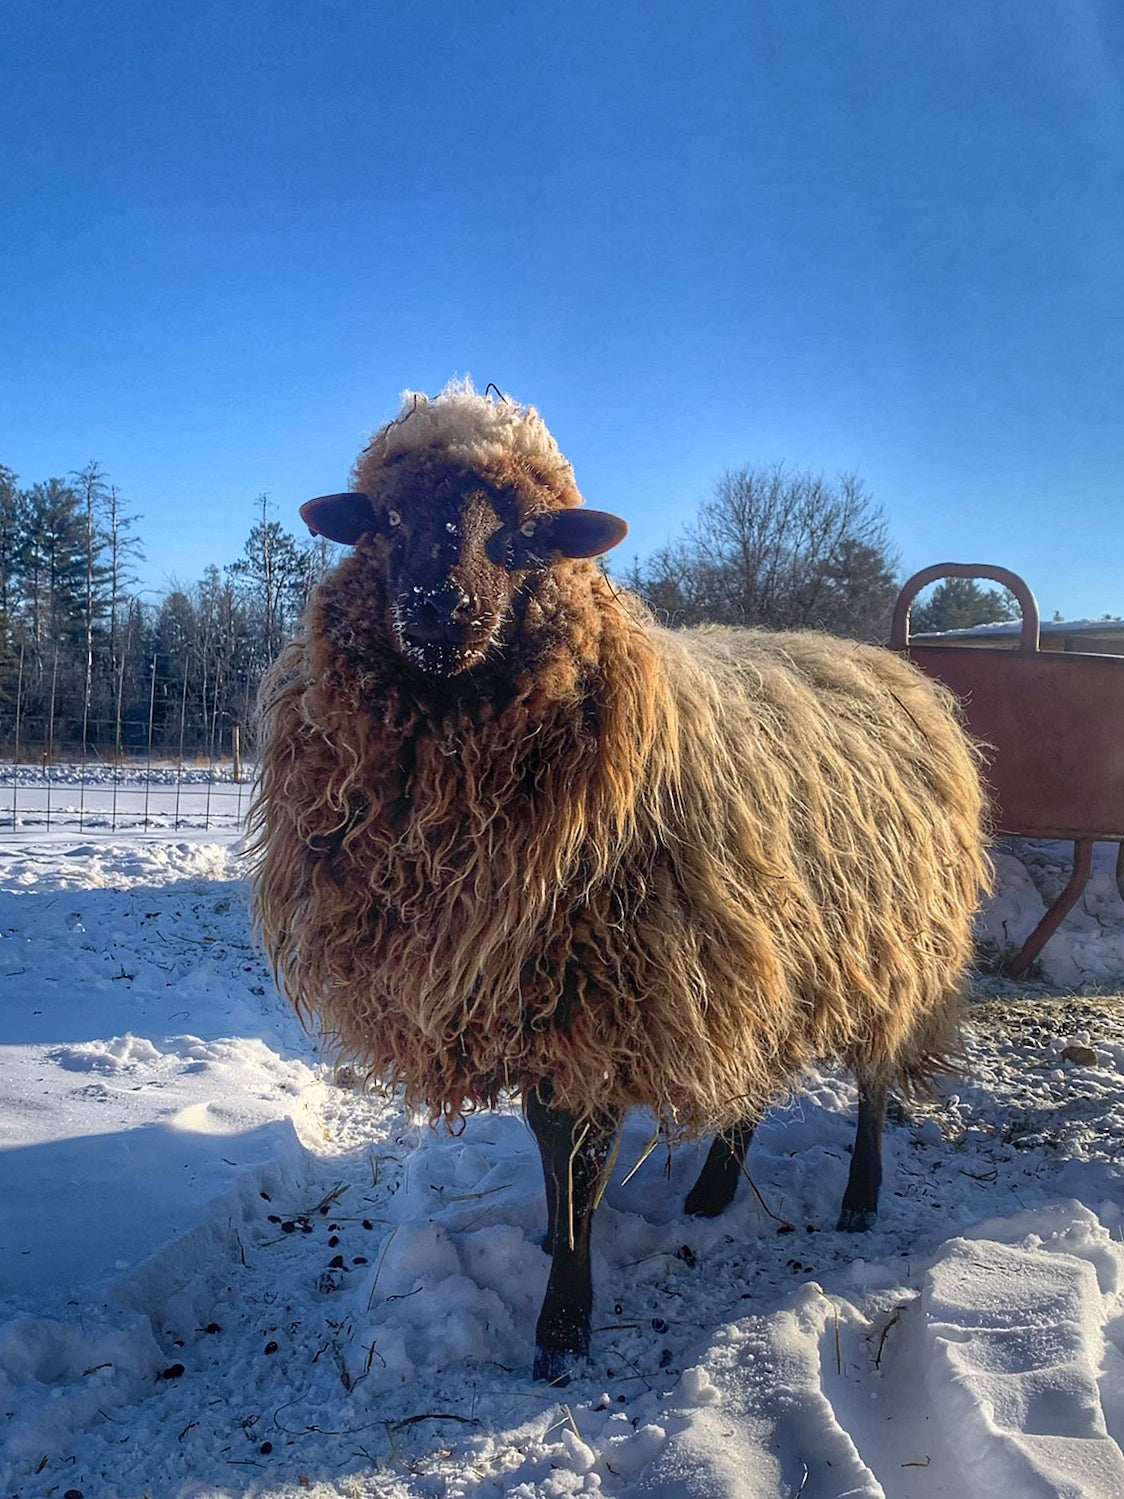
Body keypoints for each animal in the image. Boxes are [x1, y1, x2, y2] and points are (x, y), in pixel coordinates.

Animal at [248, 380, 989, 1384]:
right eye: (387, 519)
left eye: (526, 535)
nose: (438, 606)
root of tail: (898, 670)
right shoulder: (544, 991)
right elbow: (548, 1140)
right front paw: (556, 1245)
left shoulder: (607, 987)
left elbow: (585, 1151)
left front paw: (565, 1320)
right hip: (766, 953)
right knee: (750, 1076)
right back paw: (713, 1189)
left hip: (889, 941)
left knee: (873, 1074)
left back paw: (860, 1196)